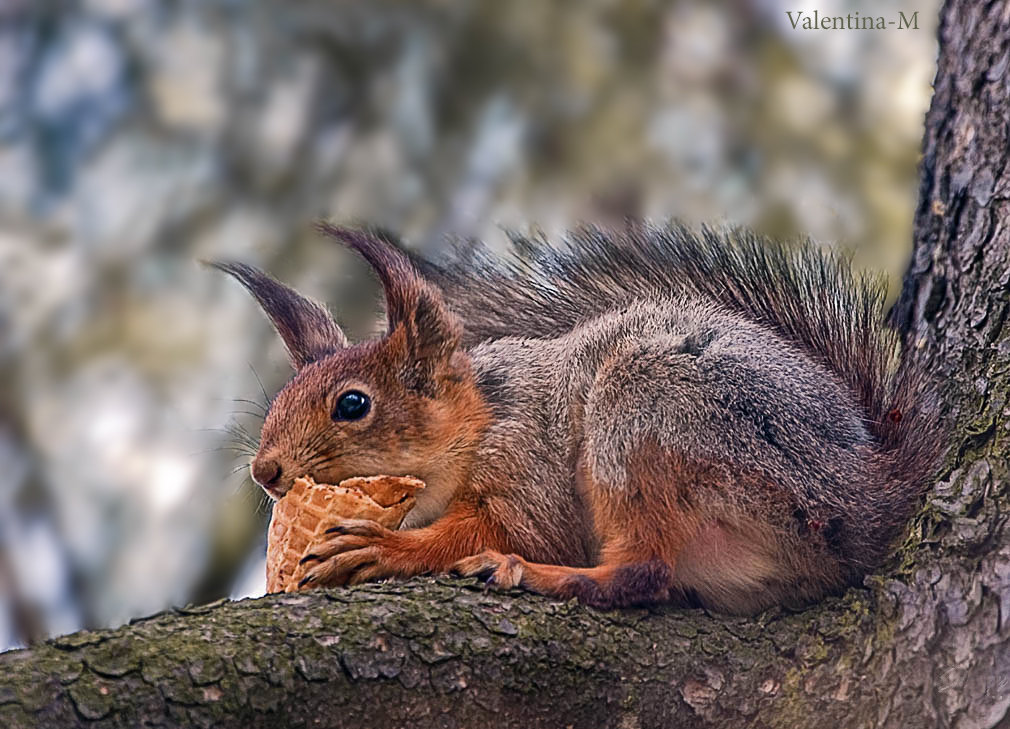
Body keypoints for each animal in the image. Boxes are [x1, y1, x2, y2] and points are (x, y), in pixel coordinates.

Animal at [213, 223, 945, 613]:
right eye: (278, 401)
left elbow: (519, 529)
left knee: (640, 570)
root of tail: (869, 494)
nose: (264, 470)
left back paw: (533, 574)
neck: (480, 421)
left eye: (353, 404)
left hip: (647, 411)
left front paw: (383, 547)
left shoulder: (528, 465)